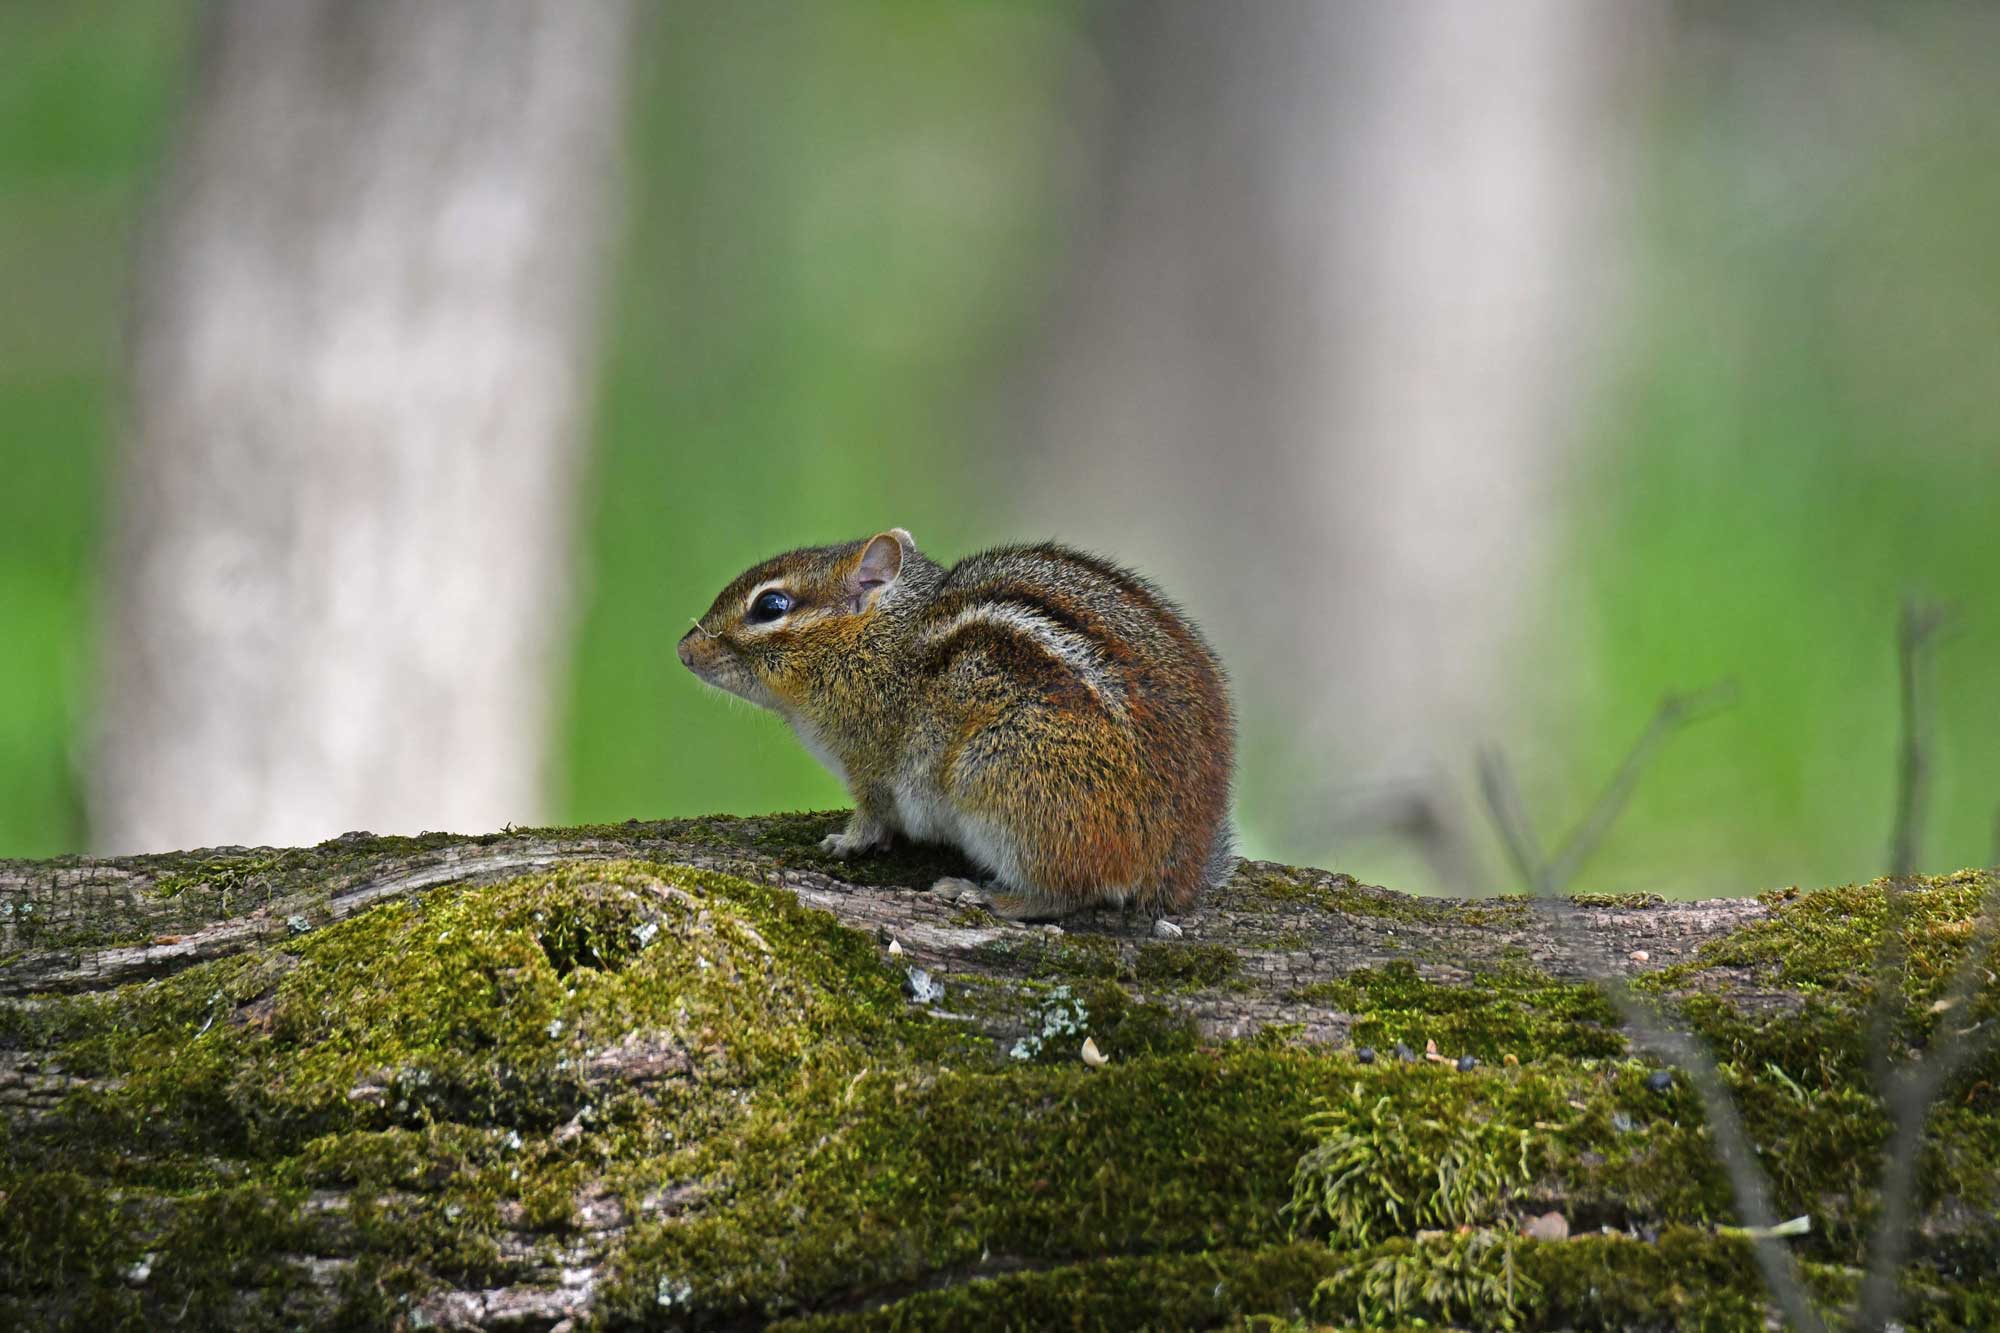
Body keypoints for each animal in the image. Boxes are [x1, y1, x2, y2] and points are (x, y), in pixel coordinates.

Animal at [676, 529, 1235, 920]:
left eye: (771, 605)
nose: (684, 650)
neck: (882, 643)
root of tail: (1180, 862)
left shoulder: (870, 766)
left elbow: (872, 817)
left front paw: (845, 842)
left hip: (1000, 780)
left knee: (1067, 894)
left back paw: (987, 896)